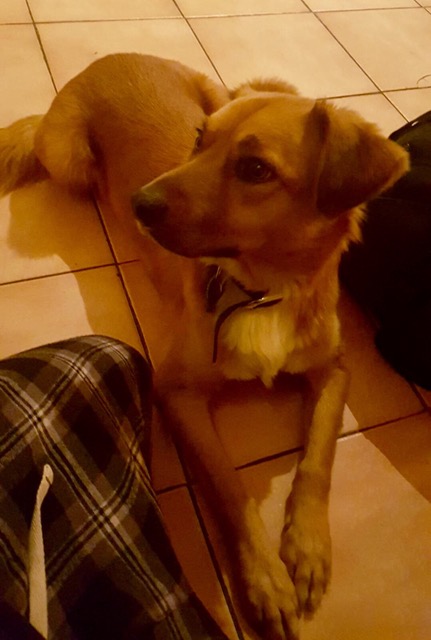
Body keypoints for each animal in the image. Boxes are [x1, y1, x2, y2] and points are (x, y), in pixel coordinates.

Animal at [0, 54, 409, 639]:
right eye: (199, 140)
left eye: (255, 169)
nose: (138, 203)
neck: (264, 290)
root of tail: (110, 58)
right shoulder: (178, 393)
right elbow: (229, 487)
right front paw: (265, 581)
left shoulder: (334, 369)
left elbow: (319, 457)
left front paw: (307, 549)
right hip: (71, 157)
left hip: (220, 90)